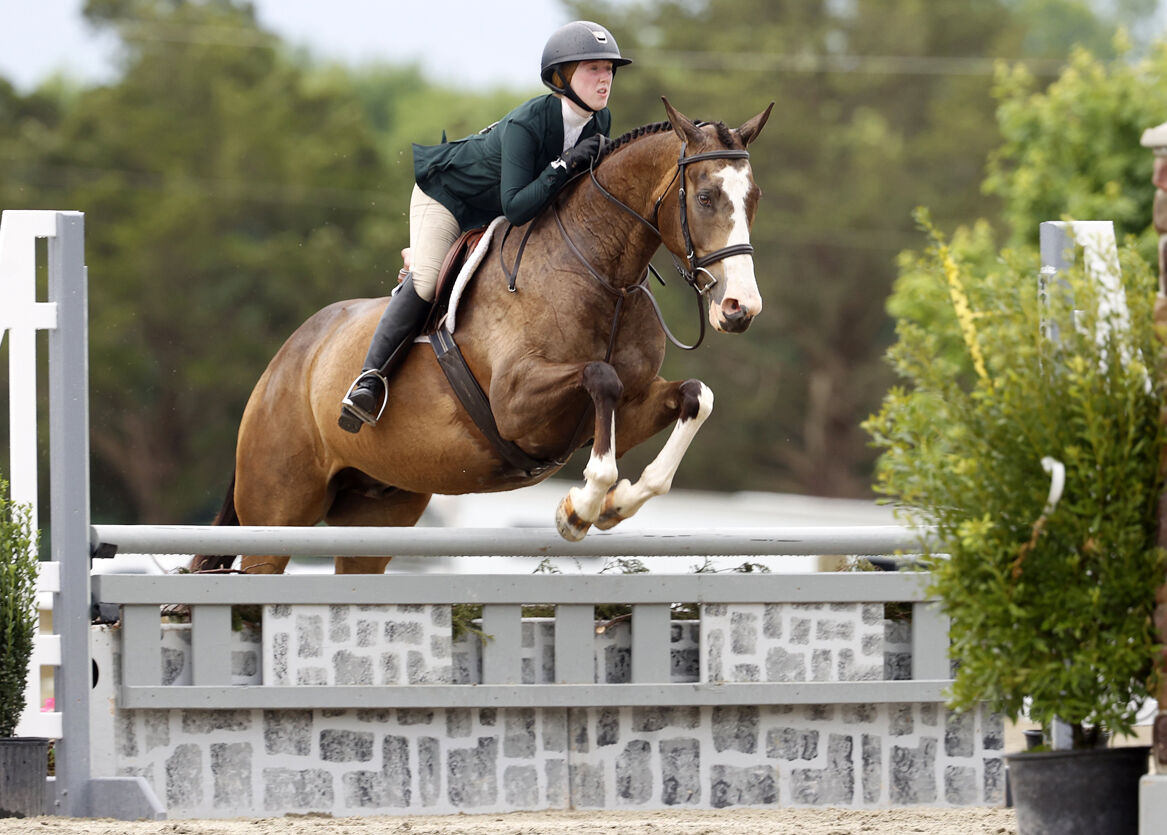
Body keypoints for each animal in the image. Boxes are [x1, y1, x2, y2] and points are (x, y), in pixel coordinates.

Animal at [189, 97, 774, 573]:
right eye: (704, 197)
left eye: (755, 199)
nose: (740, 308)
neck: (603, 273)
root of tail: (284, 361)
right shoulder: (516, 405)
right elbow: (600, 376)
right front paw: (580, 508)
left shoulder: (623, 412)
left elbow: (695, 397)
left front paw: (615, 503)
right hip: (277, 512)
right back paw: (362, 395)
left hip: (377, 516)